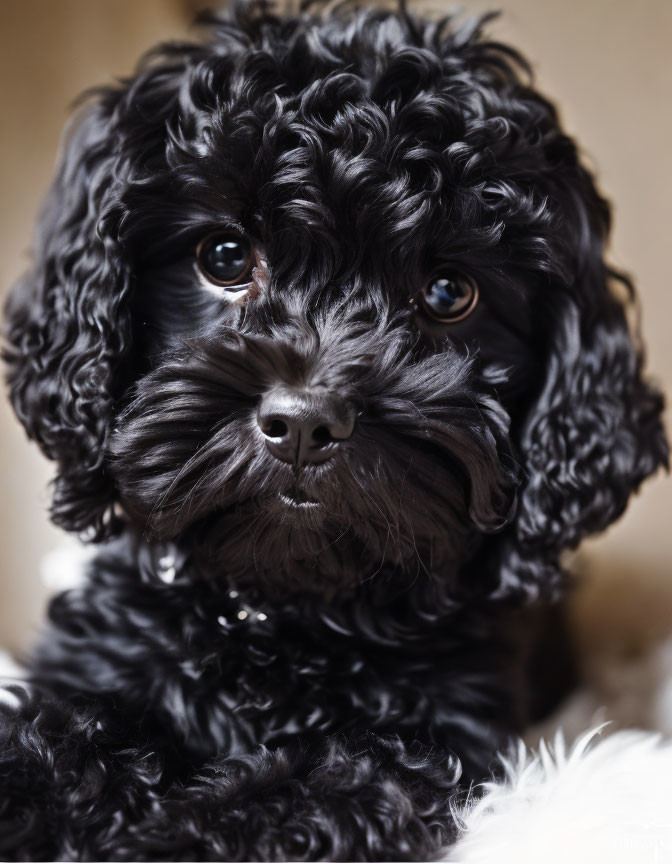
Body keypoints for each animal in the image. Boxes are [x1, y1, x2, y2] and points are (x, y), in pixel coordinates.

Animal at [0, 3, 668, 860]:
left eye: (448, 293)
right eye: (224, 256)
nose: (304, 422)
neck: (281, 620)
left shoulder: (426, 744)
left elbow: (292, 797)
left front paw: (164, 831)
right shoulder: (95, 663)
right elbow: (55, 735)